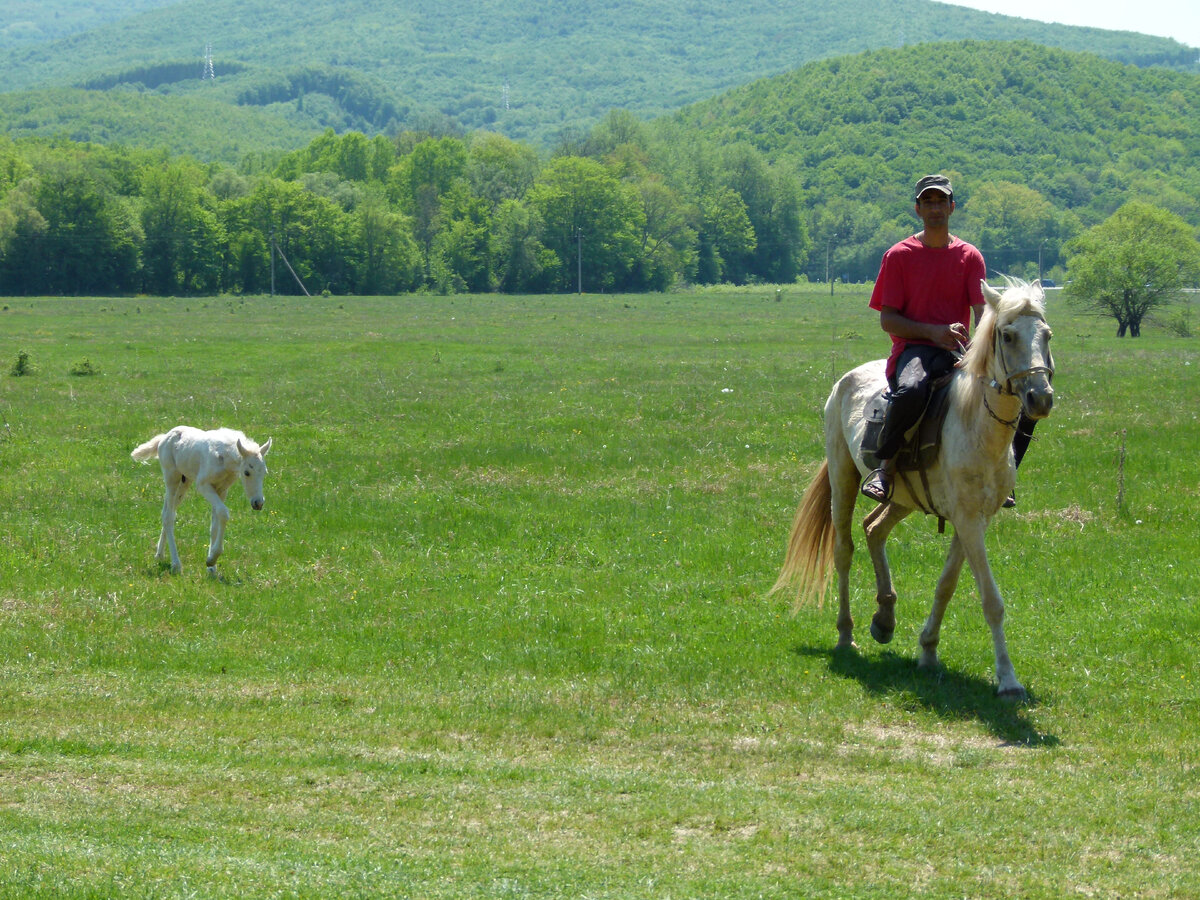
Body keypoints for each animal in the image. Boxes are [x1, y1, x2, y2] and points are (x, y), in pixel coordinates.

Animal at [132, 427, 273, 573]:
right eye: (246, 472)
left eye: (264, 472)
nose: (258, 503)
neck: (224, 458)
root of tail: (164, 437)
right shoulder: (203, 485)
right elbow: (223, 513)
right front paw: (212, 558)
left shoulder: (222, 490)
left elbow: (214, 525)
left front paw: (212, 567)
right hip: (171, 477)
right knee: (168, 516)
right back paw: (176, 564)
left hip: (185, 481)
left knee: (167, 511)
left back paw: (159, 555)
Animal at [772, 278, 1056, 700]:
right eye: (1007, 335)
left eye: (1046, 335)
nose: (1041, 398)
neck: (976, 427)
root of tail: (845, 380)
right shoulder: (968, 522)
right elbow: (991, 600)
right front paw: (1008, 679)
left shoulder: (974, 520)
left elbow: (947, 586)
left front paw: (928, 650)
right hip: (842, 479)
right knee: (844, 550)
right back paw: (846, 634)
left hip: (900, 499)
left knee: (874, 529)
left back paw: (885, 618)